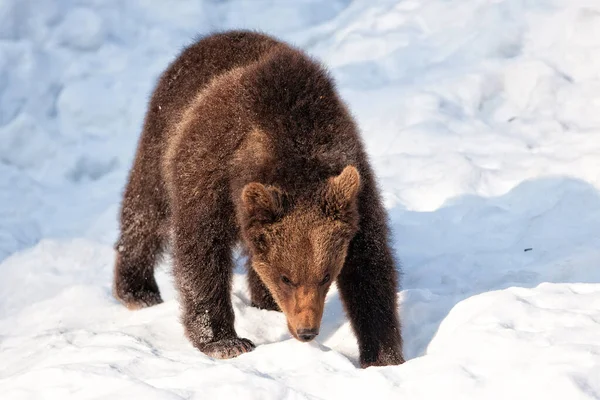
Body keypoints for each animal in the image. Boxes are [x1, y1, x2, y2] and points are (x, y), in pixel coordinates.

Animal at [112, 30, 404, 368]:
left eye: (325, 276)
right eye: (286, 277)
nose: (306, 331)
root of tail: (212, 37)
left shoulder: (354, 184)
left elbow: (370, 265)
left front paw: (383, 355)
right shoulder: (210, 171)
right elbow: (200, 252)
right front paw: (225, 341)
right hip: (160, 138)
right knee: (146, 210)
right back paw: (137, 289)